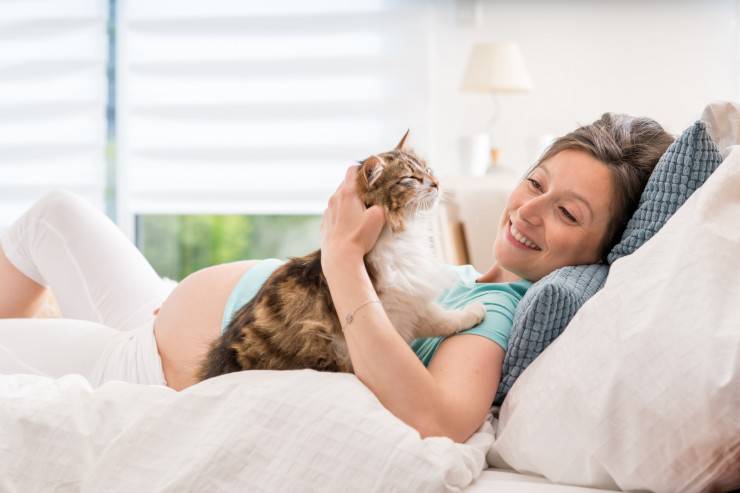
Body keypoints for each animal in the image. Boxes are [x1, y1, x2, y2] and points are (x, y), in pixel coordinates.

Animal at [197, 132, 486, 380]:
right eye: (410, 179)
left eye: (427, 170)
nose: (437, 183)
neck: (404, 235)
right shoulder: (391, 311)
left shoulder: (410, 298)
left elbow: (440, 318)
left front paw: (471, 313)